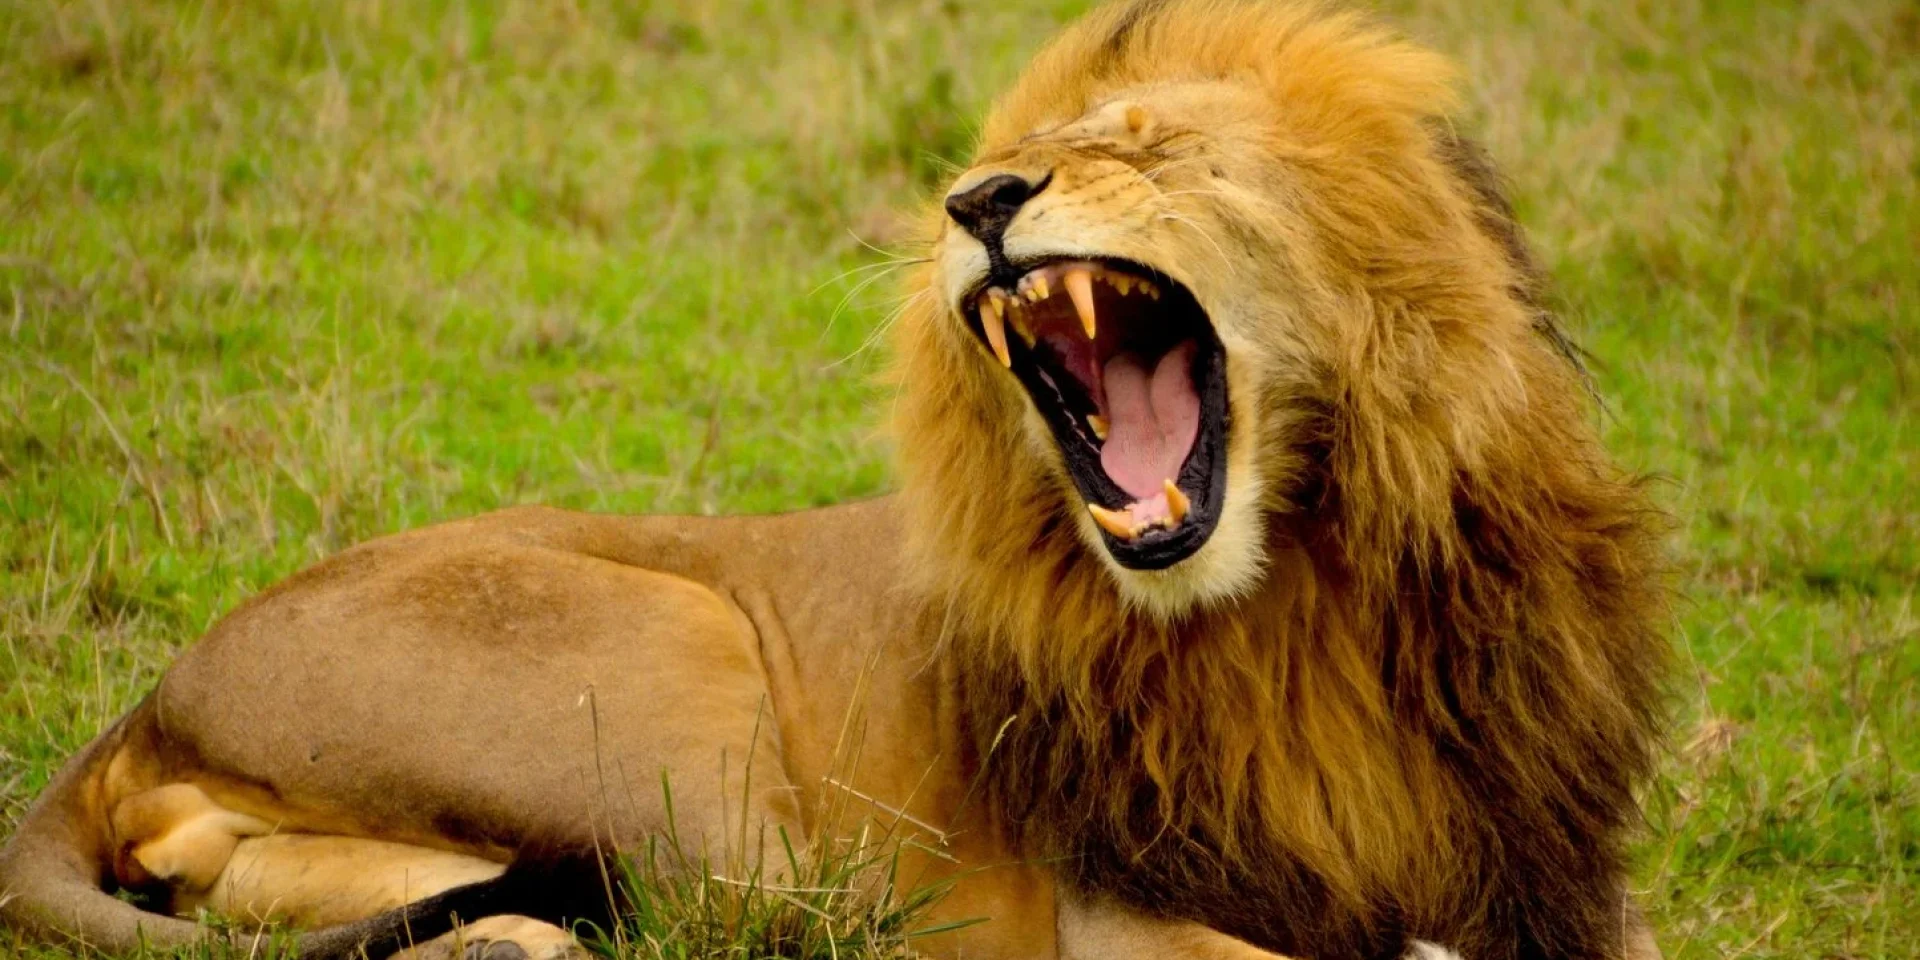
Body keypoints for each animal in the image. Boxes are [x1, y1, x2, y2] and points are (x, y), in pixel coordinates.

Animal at [0, 2, 1670, 959]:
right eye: (1020, 151)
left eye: (1150, 146)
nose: (977, 200)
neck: (1306, 596)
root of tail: (150, 696)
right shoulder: (1111, 910)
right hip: (679, 672)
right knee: (762, 921)